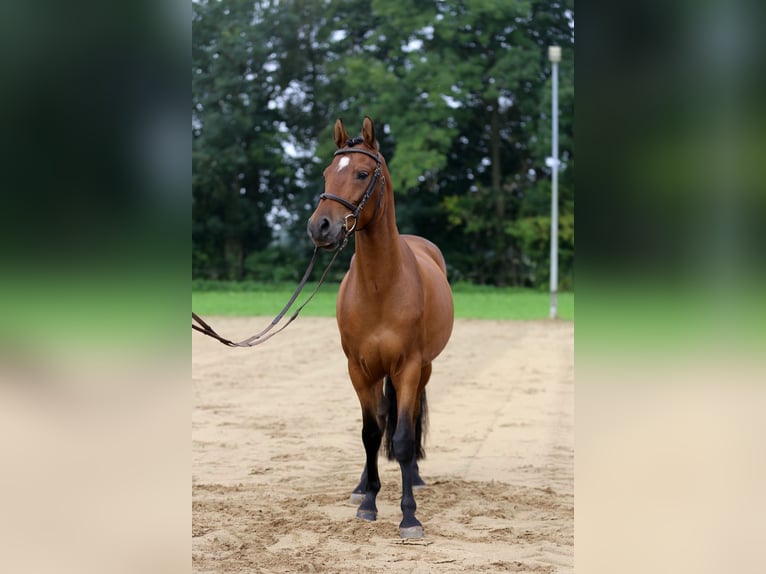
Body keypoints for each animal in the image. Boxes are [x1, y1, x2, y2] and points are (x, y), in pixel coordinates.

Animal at [306, 116, 454, 538]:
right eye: (327, 173)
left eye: (361, 173)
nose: (320, 227)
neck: (380, 285)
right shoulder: (360, 369)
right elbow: (370, 434)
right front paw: (369, 501)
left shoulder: (407, 367)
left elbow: (402, 438)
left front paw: (409, 516)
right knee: (381, 421)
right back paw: (362, 486)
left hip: (423, 370)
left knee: (411, 419)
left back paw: (415, 477)